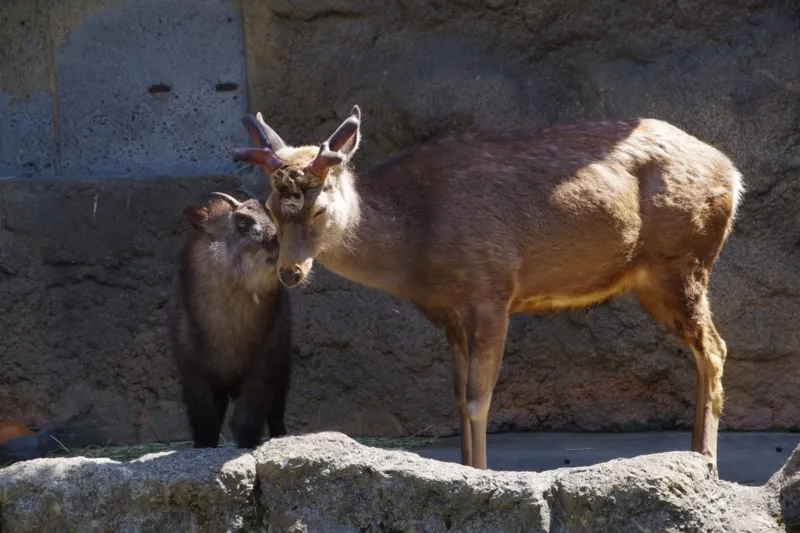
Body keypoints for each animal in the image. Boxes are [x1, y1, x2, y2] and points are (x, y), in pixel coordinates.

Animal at [167, 190, 292, 449]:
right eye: (242, 222)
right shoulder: (194, 377)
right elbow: (205, 424)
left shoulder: (263, 373)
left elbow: (246, 423)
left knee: (276, 415)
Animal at [230, 107, 743, 470]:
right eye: (271, 207)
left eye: (319, 209)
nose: (290, 272)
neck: (416, 244)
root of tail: (733, 174)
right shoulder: (450, 312)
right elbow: (459, 398)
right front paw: (463, 469)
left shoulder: (492, 289)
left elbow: (480, 400)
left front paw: (481, 475)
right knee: (707, 350)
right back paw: (695, 455)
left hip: (681, 261)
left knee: (715, 348)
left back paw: (708, 461)